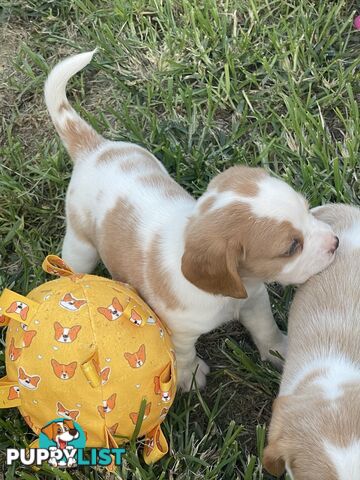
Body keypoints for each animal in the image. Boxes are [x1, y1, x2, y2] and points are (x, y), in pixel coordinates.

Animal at [44, 51, 338, 390]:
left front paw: (281, 351)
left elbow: (266, 329)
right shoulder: (179, 330)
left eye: (307, 208)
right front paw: (191, 377)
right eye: (292, 247)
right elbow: (183, 355)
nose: (336, 242)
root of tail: (94, 147)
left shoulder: (255, 301)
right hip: (80, 247)